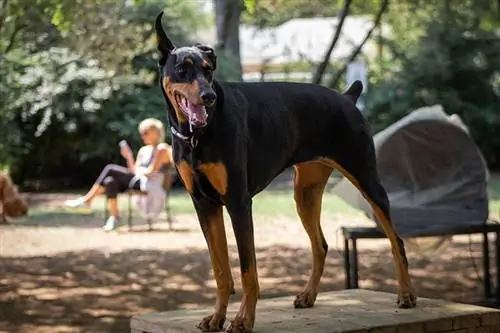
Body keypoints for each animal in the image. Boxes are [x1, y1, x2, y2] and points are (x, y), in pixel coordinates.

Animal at [154, 11, 416, 330]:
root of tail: (346, 97)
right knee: (320, 245)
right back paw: (308, 295)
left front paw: (243, 320)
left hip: (366, 178)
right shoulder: (204, 204)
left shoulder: (238, 202)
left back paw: (406, 294)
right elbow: (220, 270)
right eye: (182, 69)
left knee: (396, 240)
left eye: (208, 71)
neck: (198, 135)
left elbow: (248, 270)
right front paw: (216, 317)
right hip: (305, 192)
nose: (208, 96)